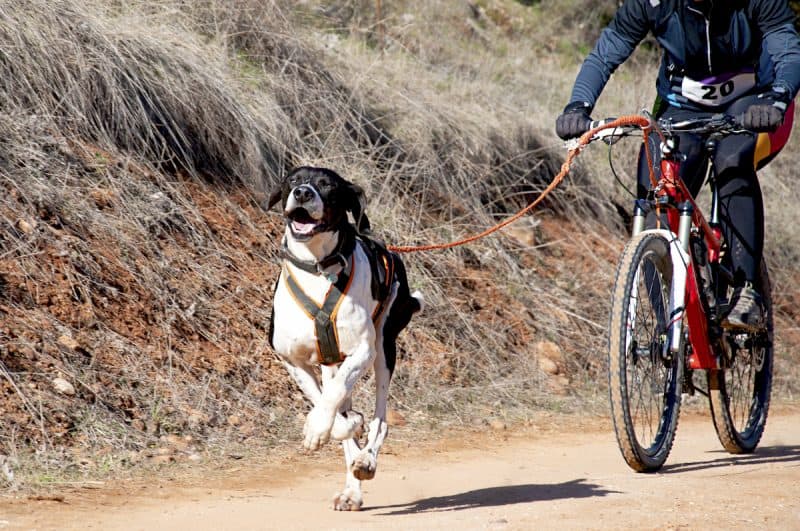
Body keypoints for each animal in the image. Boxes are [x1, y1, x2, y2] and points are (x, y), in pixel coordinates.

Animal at [266, 166, 424, 512]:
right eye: (293, 180)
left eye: (328, 186)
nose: (303, 193)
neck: (317, 268)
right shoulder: (292, 360)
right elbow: (326, 403)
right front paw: (339, 425)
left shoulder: (361, 351)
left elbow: (335, 397)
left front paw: (320, 427)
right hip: (332, 361)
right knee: (345, 421)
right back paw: (352, 488)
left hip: (383, 348)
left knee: (380, 420)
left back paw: (366, 461)